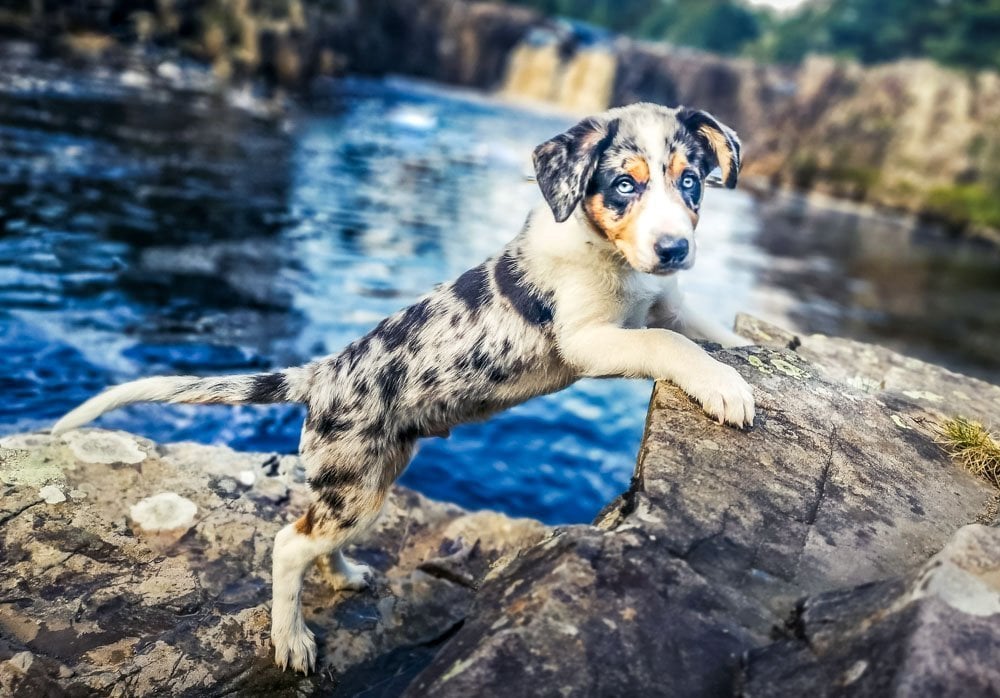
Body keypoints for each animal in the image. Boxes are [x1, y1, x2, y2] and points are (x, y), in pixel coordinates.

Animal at [52, 102, 752, 668]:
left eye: (690, 183)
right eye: (624, 185)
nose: (674, 249)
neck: (615, 260)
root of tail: (320, 375)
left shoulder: (666, 302)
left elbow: (701, 328)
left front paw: (751, 353)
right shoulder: (588, 339)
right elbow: (668, 344)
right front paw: (729, 388)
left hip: (371, 478)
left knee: (314, 533)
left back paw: (345, 574)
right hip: (358, 483)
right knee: (288, 544)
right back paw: (291, 641)